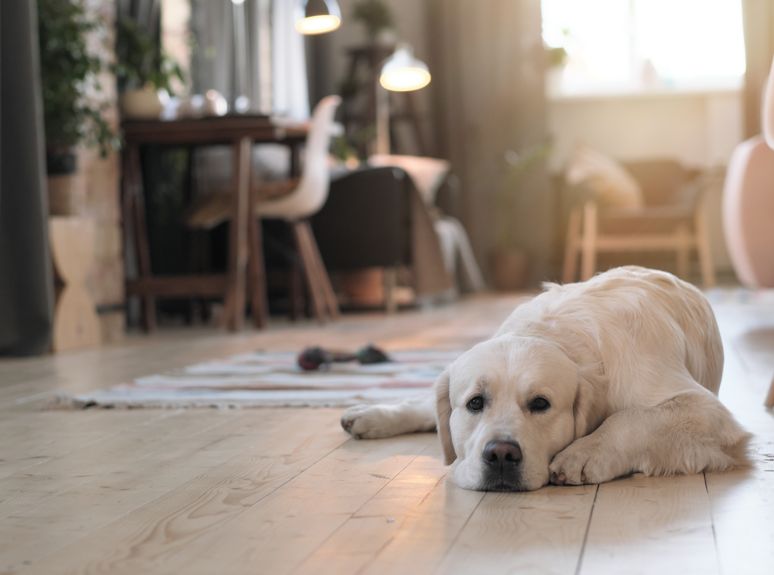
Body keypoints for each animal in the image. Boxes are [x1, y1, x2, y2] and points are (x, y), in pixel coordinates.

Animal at [342, 268, 752, 492]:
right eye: (475, 402)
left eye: (540, 404)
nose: (501, 455)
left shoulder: (708, 413)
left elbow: (629, 419)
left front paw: (584, 453)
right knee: (427, 403)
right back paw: (369, 415)